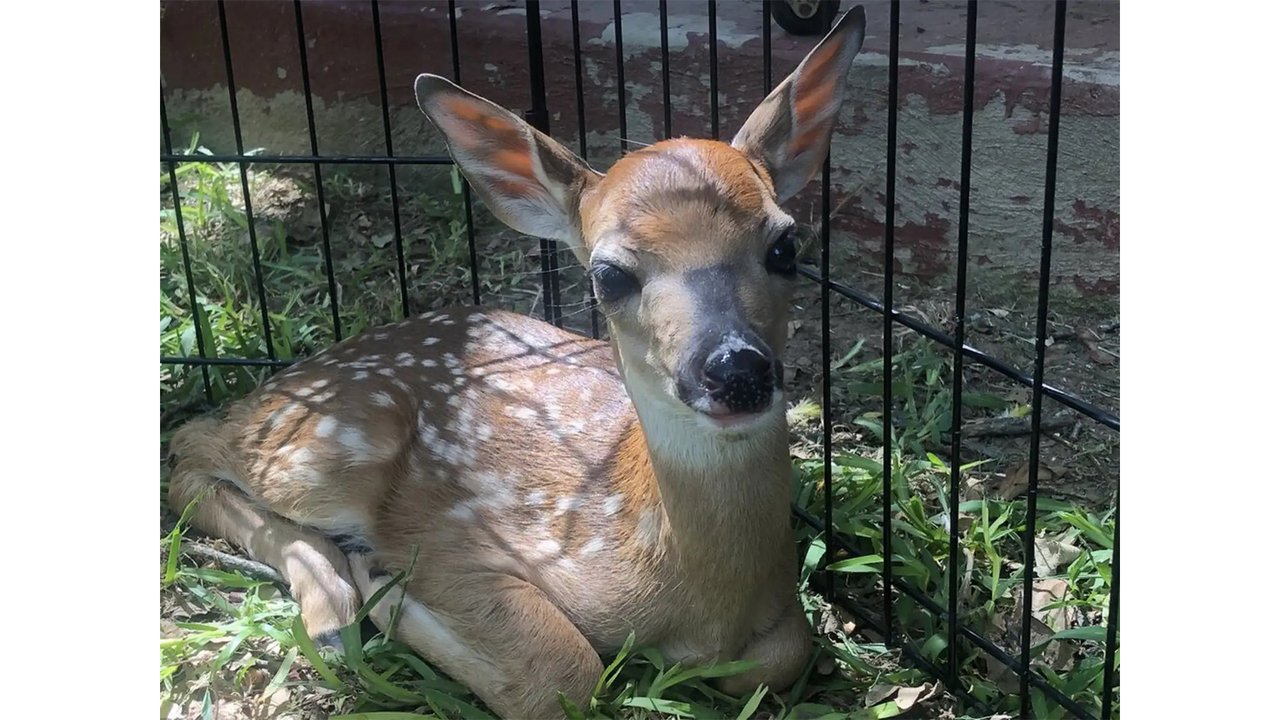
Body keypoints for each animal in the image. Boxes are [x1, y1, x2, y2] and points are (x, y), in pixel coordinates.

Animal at [165, 7, 870, 717]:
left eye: (786, 246)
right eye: (609, 275)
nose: (735, 368)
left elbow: (782, 655)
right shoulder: (458, 541)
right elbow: (565, 671)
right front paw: (386, 590)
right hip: (334, 445)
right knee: (189, 449)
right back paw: (336, 613)